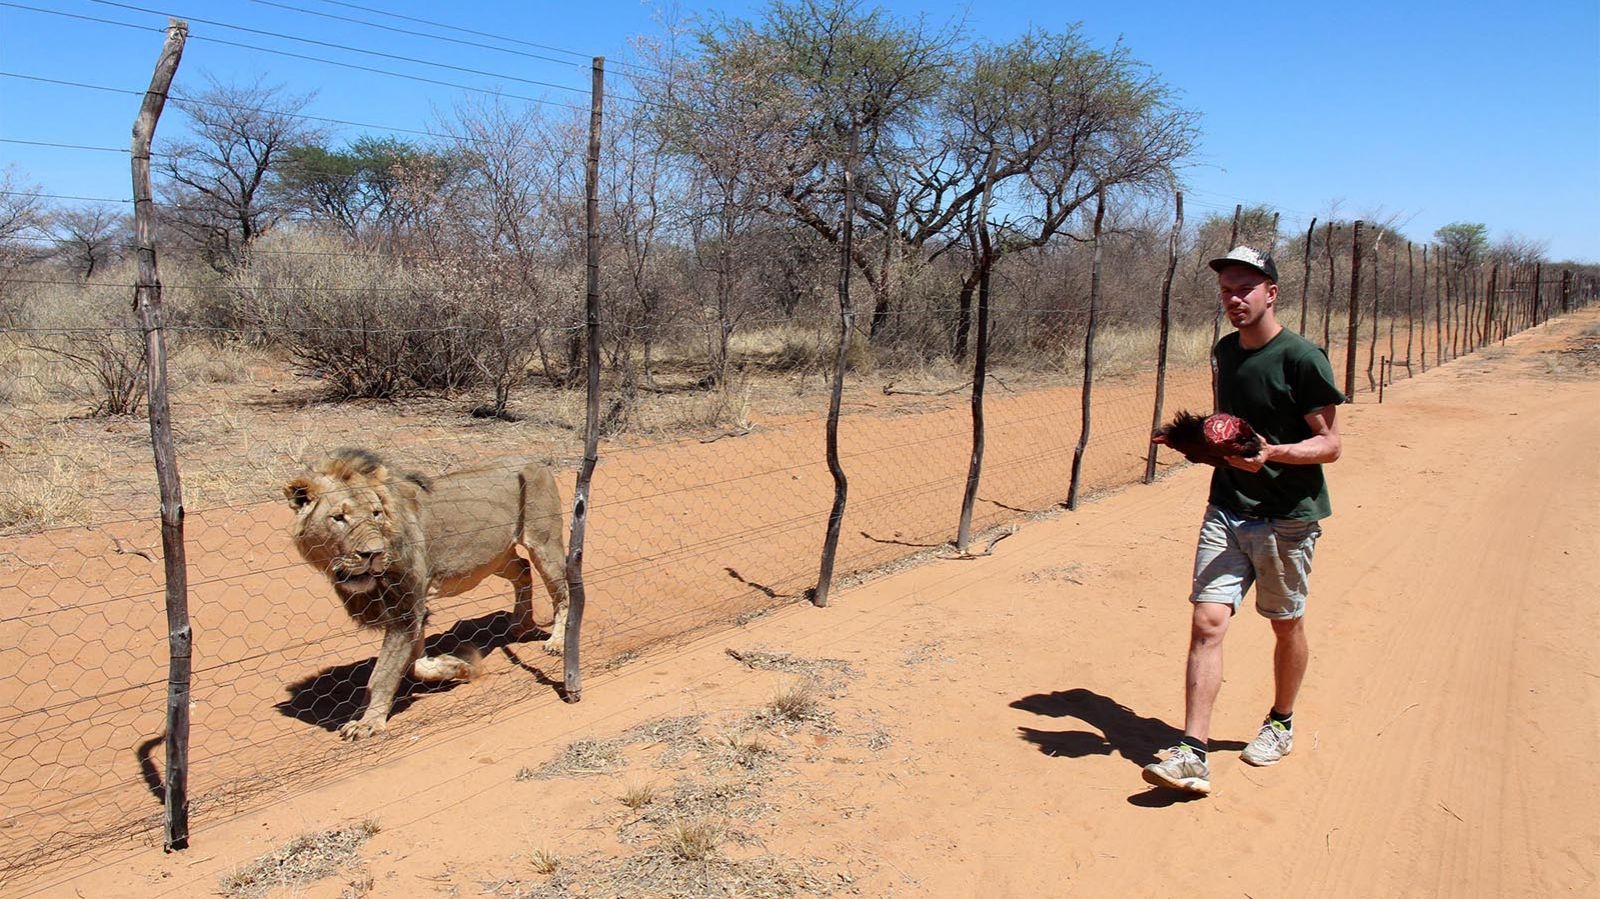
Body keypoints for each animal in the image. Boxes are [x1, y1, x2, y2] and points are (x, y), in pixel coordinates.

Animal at [286, 444, 569, 739]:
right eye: (338, 518)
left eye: (376, 513)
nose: (373, 554)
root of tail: (534, 460)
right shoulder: (415, 610)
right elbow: (414, 665)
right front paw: (458, 667)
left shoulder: (407, 609)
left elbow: (384, 673)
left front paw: (368, 723)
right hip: (495, 558)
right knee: (523, 570)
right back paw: (520, 623)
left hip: (544, 545)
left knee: (563, 591)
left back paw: (557, 641)